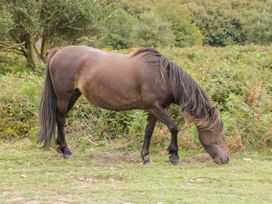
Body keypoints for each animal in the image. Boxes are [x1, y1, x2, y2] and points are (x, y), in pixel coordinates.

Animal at [37, 45, 230, 164]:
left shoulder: (154, 109)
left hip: (73, 96)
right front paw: (174, 155)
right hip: (64, 96)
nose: (226, 159)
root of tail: (58, 52)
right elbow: (173, 127)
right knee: (61, 120)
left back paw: (60, 148)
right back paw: (66, 151)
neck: (164, 76)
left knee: (59, 118)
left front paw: (145, 157)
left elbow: (148, 132)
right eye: (218, 134)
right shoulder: (156, 107)